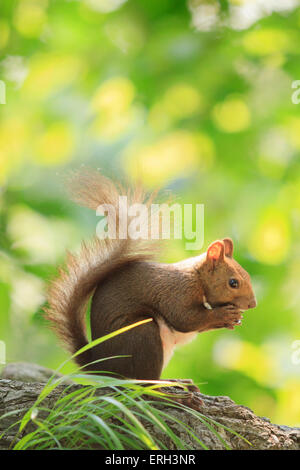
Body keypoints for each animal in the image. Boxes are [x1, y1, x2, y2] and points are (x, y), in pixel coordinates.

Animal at [45, 171, 256, 384]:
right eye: (233, 283)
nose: (252, 304)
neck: (198, 278)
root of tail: (104, 369)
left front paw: (233, 319)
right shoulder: (177, 292)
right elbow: (185, 318)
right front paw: (223, 315)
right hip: (143, 335)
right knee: (141, 379)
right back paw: (165, 384)